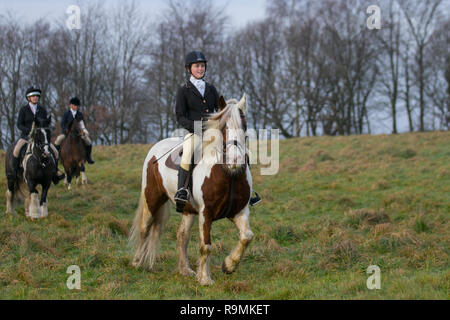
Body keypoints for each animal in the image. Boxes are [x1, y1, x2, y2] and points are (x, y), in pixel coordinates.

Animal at [130, 92, 255, 284]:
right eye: (223, 127)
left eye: (244, 125)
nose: (235, 160)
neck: (229, 175)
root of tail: (155, 148)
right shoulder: (206, 212)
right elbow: (206, 245)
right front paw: (205, 279)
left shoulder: (239, 211)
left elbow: (247, 236)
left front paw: (229, 265)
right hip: (152, 198)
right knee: (145, 227)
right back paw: (137, 262)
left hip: (188, 209)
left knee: (182, 235)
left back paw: (185, 270)